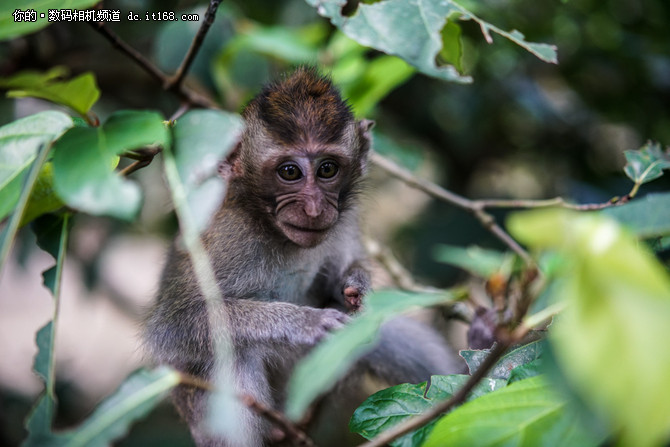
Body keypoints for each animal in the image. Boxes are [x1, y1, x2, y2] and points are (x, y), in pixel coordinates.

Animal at [143, 67, 462, 447]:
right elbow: (173, 327)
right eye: (290, 172)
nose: (314, 209)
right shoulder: (224, 238)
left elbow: (350, 275)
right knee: (233, 354)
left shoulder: (345, 221)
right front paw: (305, 322)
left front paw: (355, 285)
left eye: (327, 169)